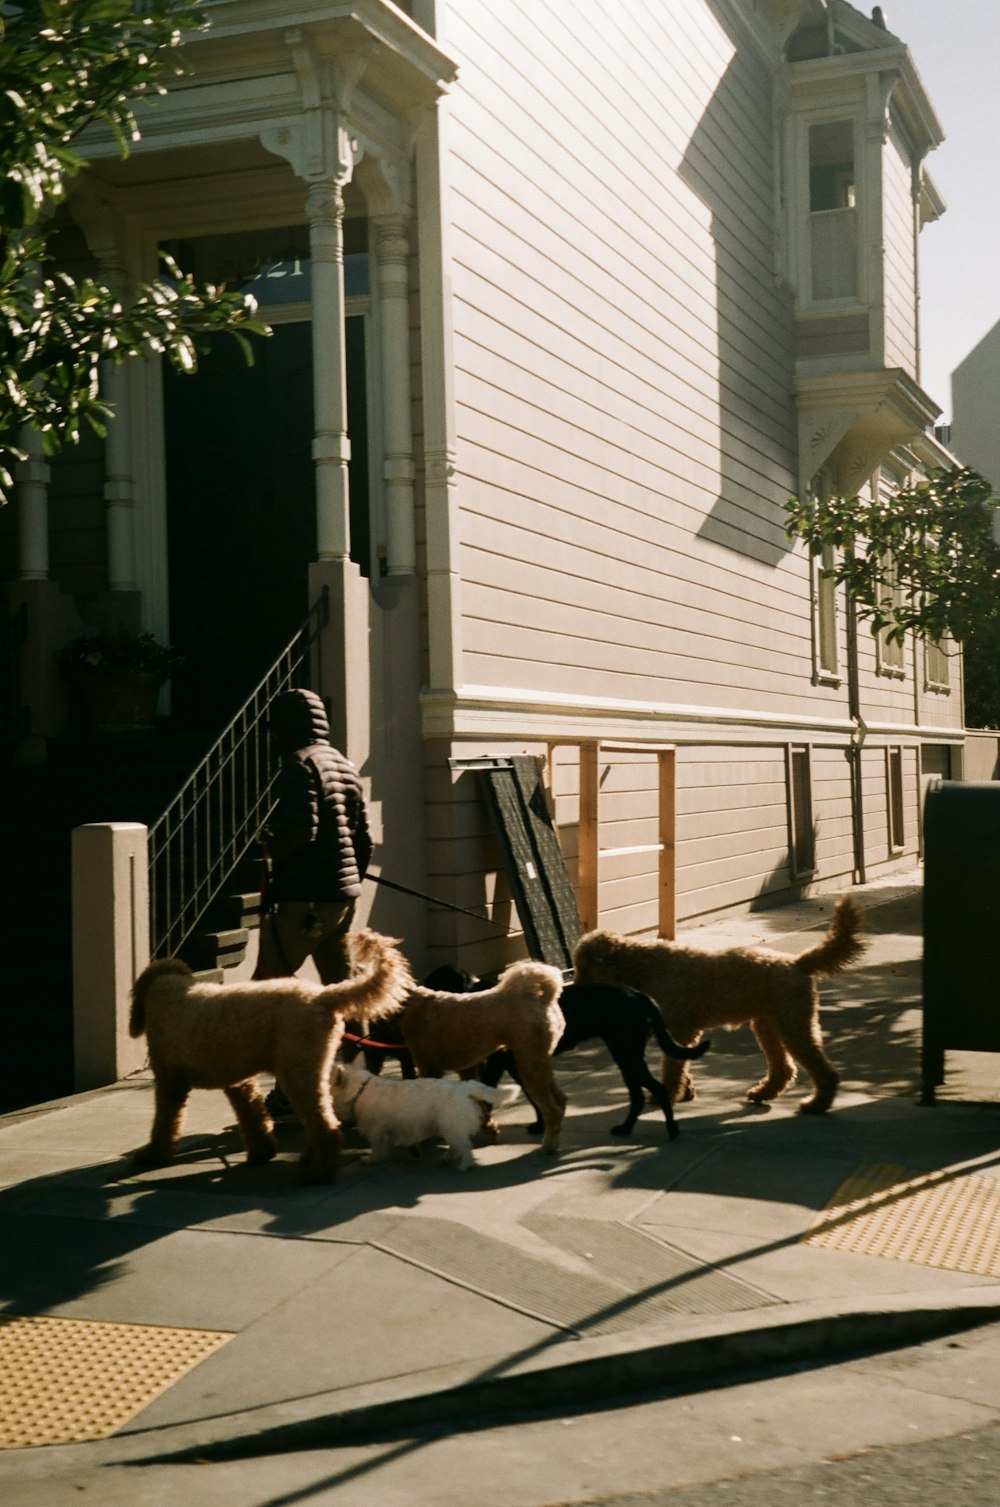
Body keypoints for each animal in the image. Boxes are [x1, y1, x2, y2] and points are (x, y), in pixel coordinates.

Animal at [131, 922, 412, 1181]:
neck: (168, 990)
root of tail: (323, 996)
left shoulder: (170, 1081)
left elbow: (165, 1121)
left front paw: (154, 1153)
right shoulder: (239, 1082)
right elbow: (253, 1116)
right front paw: (261, 1152)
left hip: (297, 1070)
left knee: (325, 1125)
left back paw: (318, 1172)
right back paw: (310, 1162)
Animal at [334, 1066, 518, 1169]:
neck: (360, 1089)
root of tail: (464, 1087)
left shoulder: (375, 1130)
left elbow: (377, 1148)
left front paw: (371, 1159)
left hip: (450, 1126)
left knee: (465, 1146)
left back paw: (464, 1165)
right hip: (451, 1128)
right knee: (457, 1145)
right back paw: (447, 1158)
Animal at [400, 958, 569, 1157]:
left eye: (435, 980)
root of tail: (544, 996)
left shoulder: (433, 1066)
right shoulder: (467, 1067)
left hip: (529, 1062)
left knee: (552, 1108)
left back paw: (548, 1144)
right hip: (537, 1060)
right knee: (559, 1099)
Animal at [481, 982, 707, 1133]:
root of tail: (638, 994)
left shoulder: (506, 1064)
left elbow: (530, 1098)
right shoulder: (507, 1065)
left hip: (626, 1054)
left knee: (656, 1089)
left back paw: (670, 1129)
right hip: (626, 1056)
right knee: (638, 1096)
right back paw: (626, 1129)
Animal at [569, 892, 867, 1121]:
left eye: (584, 966)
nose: (573, 991)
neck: (642, 965)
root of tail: (798, 963)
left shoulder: (680, 1028)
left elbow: (673, 1066)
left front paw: (670, 1093)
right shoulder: (679, 1031)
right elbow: (678, 1063)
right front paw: (686, 1091)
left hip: (793, 1023)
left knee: (821, 1069)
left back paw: (817, 1104)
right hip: (768, 1025)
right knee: (784, 1068)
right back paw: (763, 1093)